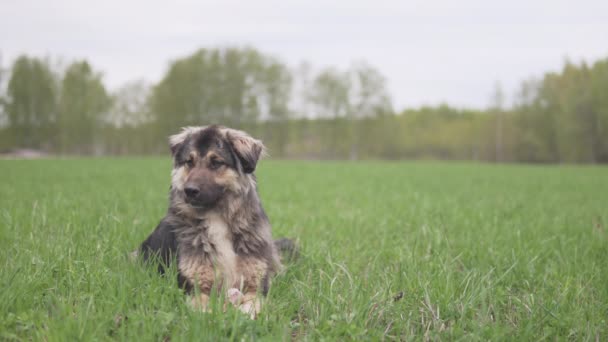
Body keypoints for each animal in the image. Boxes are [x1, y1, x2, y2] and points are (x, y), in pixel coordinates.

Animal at [137, 125, 294, 318]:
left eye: (216, 162)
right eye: (189, 162)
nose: (189, 190)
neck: (217, 217)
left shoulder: (255, 287)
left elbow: (250, 305)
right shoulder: (196, 289)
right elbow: (207, 312)